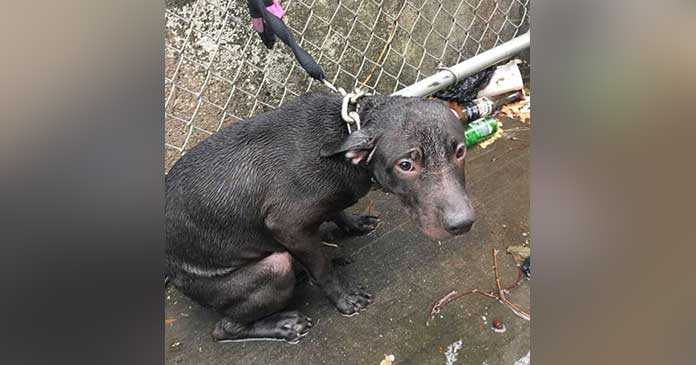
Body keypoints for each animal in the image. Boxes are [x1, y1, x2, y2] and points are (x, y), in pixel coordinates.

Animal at [166, 91, 476, 342]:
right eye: (406, 165)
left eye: (460, 151)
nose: (462, 224)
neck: (348, 131)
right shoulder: (288, 225)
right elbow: (323, 268)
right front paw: (345, 299)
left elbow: (336, 213)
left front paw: (354, 224)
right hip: (272, 269)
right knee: (224, 329)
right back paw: (283, 325)